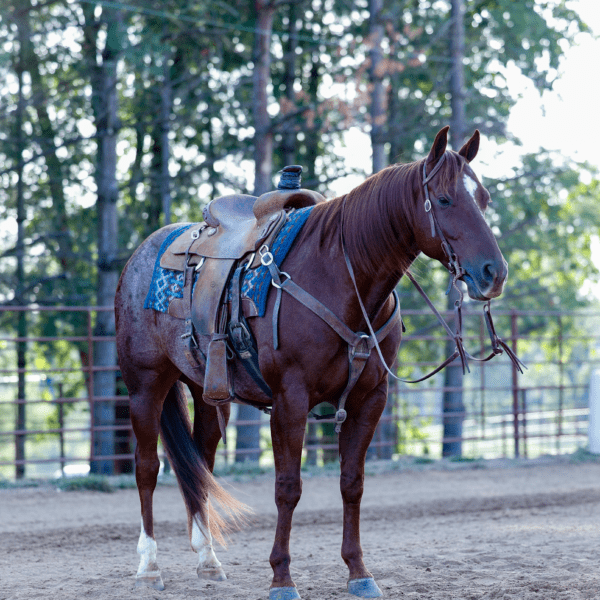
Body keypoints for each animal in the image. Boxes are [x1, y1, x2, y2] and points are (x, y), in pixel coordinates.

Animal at [115, 124, 508, 596]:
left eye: (484, 198)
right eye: (446, 199)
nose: (493, 273)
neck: (339, 275)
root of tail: (143, 252)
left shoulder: (370, 398)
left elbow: (352, 483)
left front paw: (359, 572)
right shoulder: (291, 398)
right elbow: (288, 487)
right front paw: (282, 577)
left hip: (207, 391)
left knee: (201, 464)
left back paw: (208, 559)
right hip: (145, 385)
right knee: (147, 467)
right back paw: (148, 565)